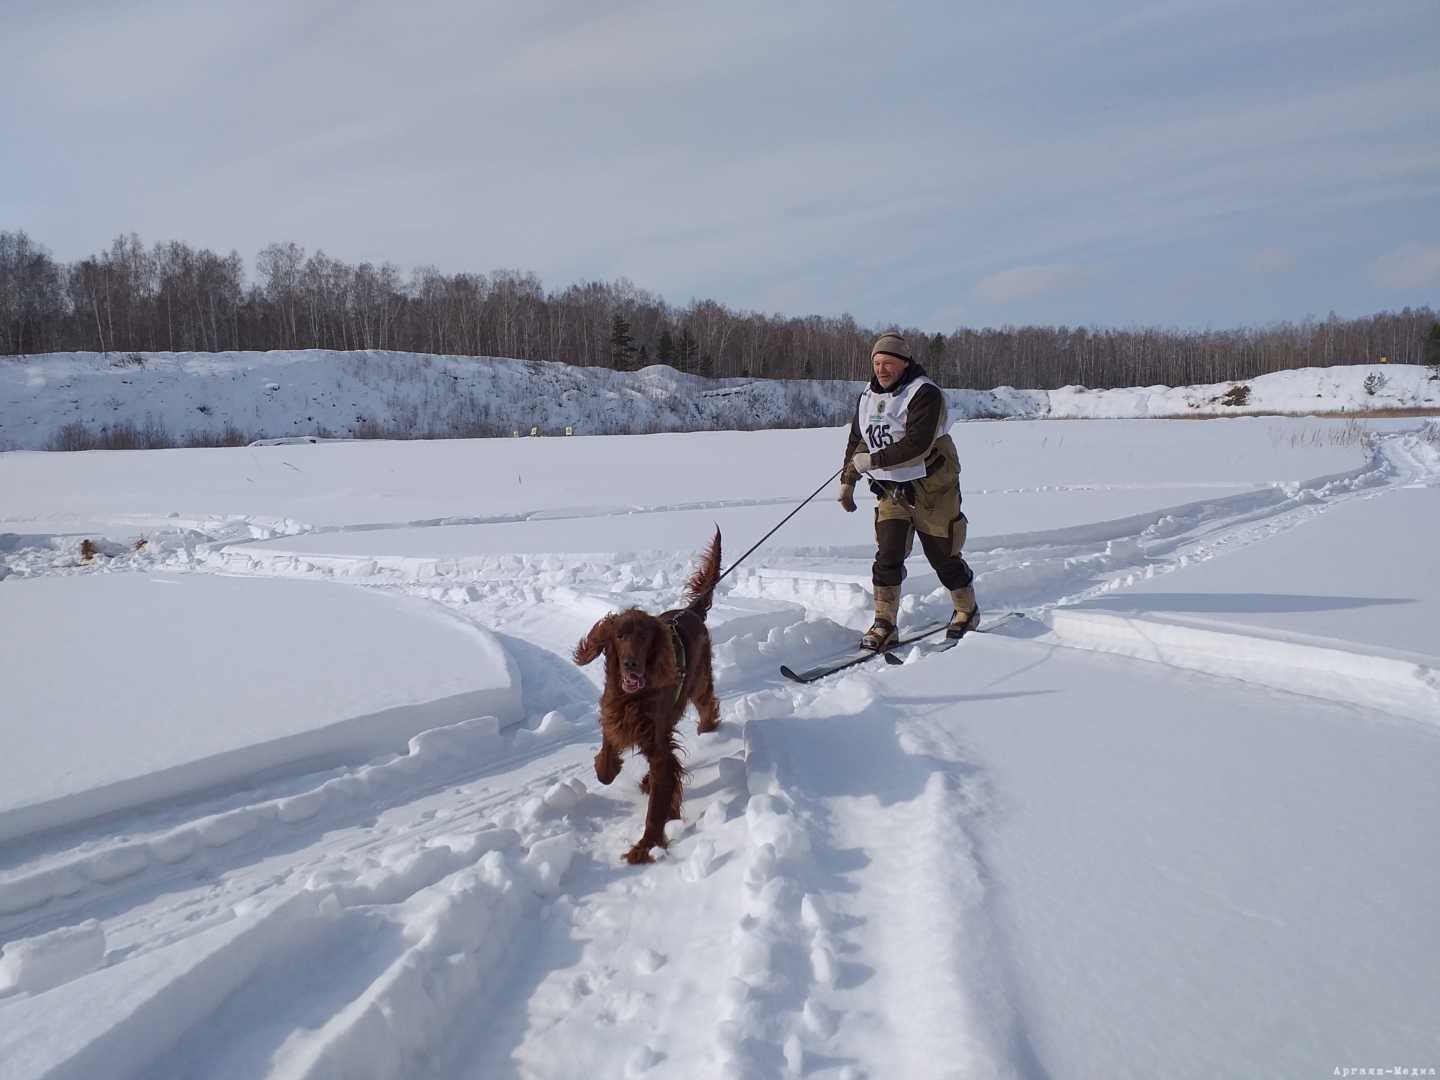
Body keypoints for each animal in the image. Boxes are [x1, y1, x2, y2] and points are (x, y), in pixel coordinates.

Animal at [573, 529, 725, 869]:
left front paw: (645, 846)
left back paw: (707, 729)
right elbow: (606, 760)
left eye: (644, 635)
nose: (631, 664)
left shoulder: (657, 746)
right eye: (619, 635)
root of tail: (691, 610)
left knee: (708, 704)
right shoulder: (613, 714)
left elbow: (658, 802)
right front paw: (607, 767)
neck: (633, 697)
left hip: (698, 682)